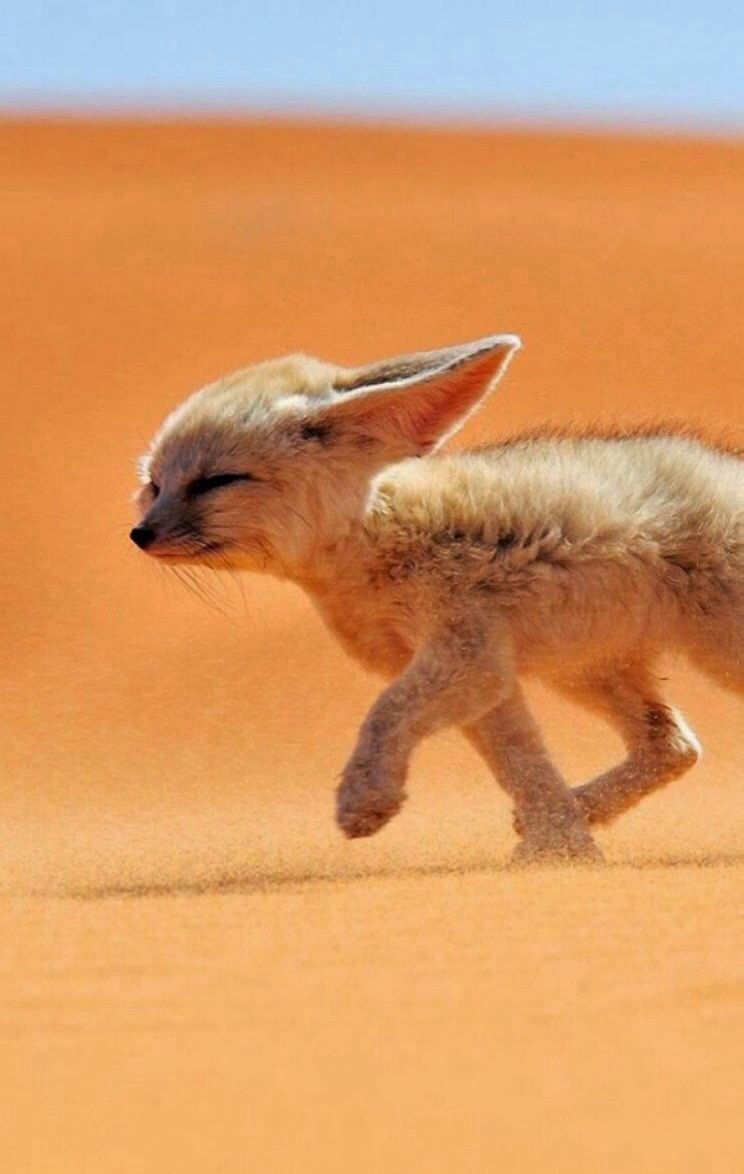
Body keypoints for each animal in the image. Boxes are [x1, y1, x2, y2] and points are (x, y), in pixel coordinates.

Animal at [131, 335, 743, 863]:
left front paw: (364, 798)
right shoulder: (488, 676)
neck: (379, 538)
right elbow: (525, 769)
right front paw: (561, 851)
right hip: (587, 668)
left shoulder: (467, 655)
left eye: (217, 481)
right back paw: (583, 808)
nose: (140, 534)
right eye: (155, 485)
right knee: (673, 744)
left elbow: (385, 712)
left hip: (712, 656)